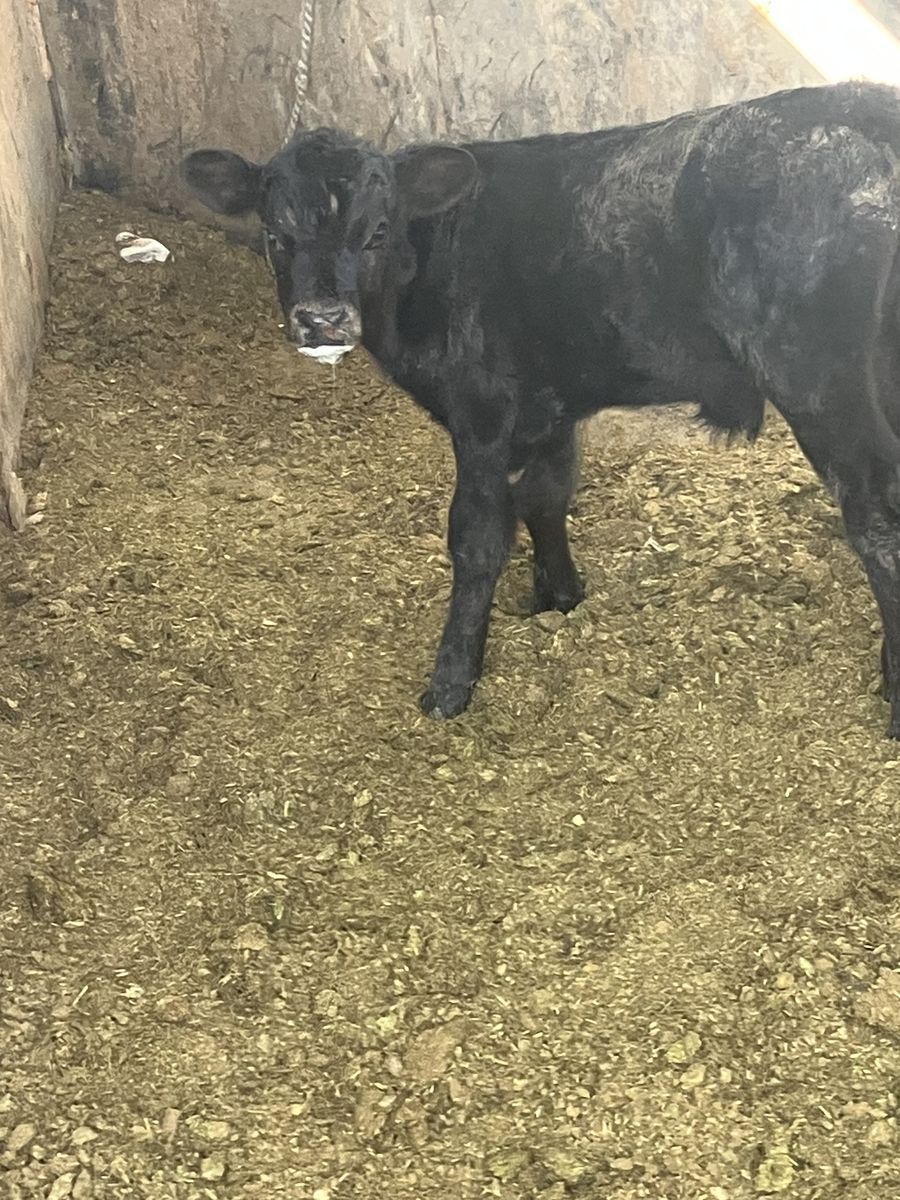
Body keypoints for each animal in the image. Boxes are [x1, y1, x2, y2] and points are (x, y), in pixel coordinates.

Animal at [182, 81, 900, 736]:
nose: (323, 319)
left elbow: (477, 537)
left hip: (820, 388)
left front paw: (451, 682)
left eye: (376, 231)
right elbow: (546, 497)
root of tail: (864, 104)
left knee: (877, 526)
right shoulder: (551, 405)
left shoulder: (481, 414)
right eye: (275, 234)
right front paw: (558, 596)